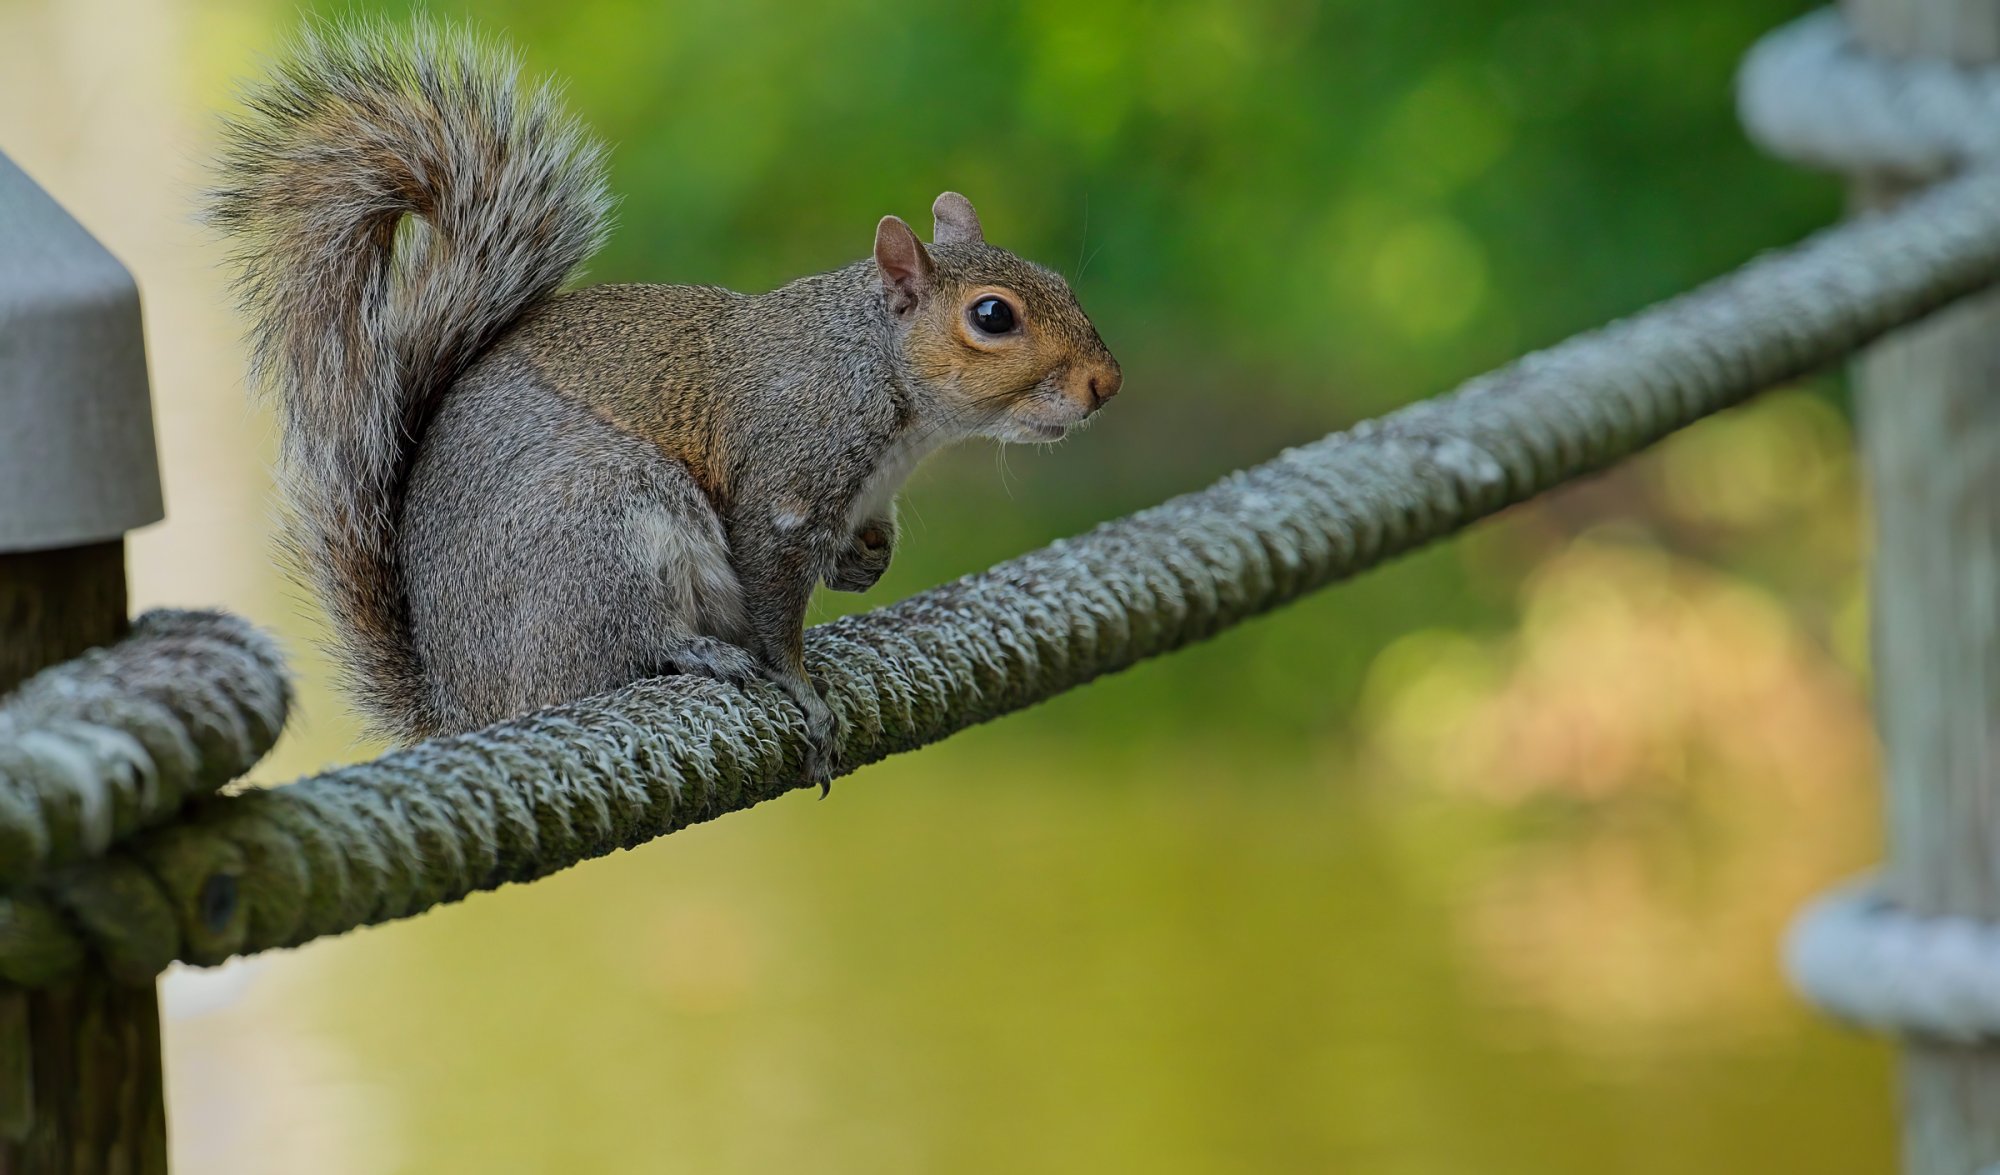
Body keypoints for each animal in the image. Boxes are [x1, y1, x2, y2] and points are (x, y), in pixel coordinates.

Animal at [203, 22, 1128, 779]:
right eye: (992, 316)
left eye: (1057, 280)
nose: (1105, 383)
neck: (877, 376)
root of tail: (468, 704)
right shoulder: (784, 482)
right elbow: (775, 604)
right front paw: (802, 689)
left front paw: (868, 557)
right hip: (599, 524)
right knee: (615, 648)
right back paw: (695, 654)